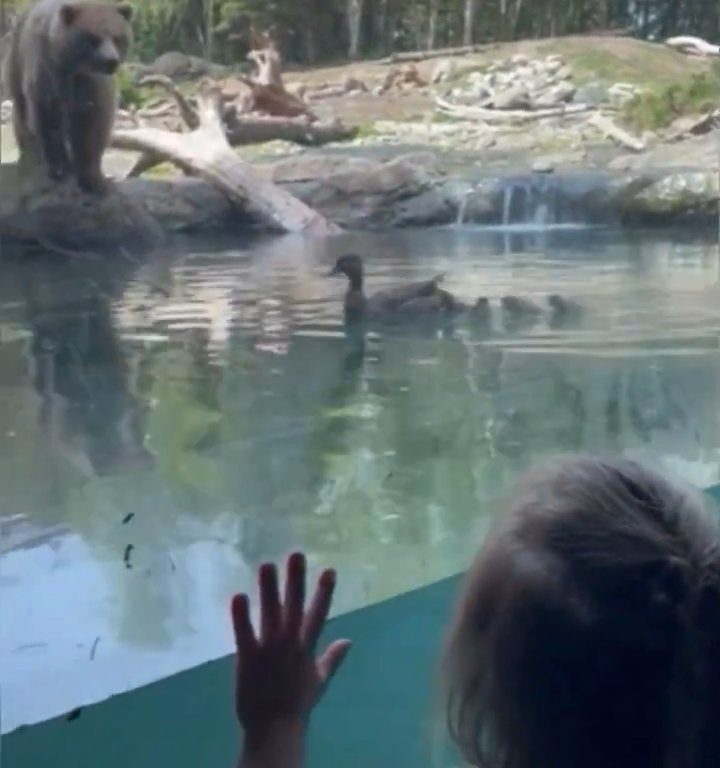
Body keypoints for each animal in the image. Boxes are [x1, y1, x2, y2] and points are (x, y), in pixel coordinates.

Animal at [4, 1, 132, 194]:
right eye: (93, 38)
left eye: (117, 37)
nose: (111, 61)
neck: (75, 68)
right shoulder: (48, 72)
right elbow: (48, 118)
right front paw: (59, 168)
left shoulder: (94, 85)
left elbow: (94, 123)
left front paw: (95, 180)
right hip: (16, 64)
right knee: (22, 113)